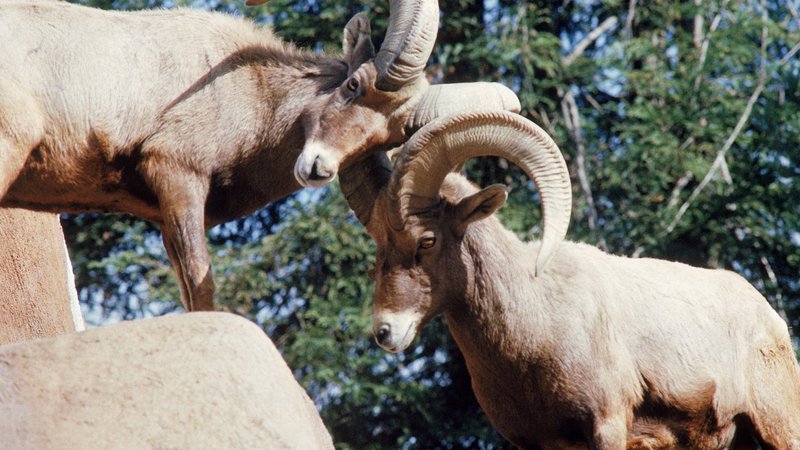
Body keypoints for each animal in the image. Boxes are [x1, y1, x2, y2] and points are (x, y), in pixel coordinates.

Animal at [0, 0, 521, 312]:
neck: (245, 93)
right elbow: (202, 286)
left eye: (385, 138)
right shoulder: (178, 177)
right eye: (353, 85)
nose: (318, 169)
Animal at [339, 110, 800, 449]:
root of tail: (771, 321)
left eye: (427, 240)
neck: (534, 332)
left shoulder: (607, 426)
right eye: (379, 248)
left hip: (778, 429)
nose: (385, 331)